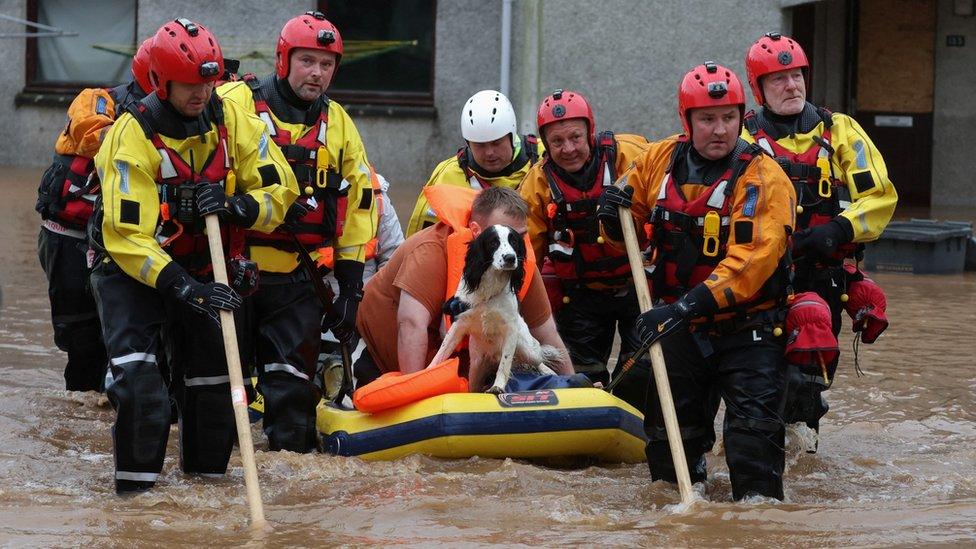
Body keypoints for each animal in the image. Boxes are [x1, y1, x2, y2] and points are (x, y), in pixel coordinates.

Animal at [428, 225, 560, 392]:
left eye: (514, 242)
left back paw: (548, 371)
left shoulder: (510, 329)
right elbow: (441, 353)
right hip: (476, 368)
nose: (510, 258)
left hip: (527, 349)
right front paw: (424, 374)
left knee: (539, 357)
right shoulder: (459, 324)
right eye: (493, 243)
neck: (490, 289)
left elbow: (504, 363)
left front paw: (497, 386)